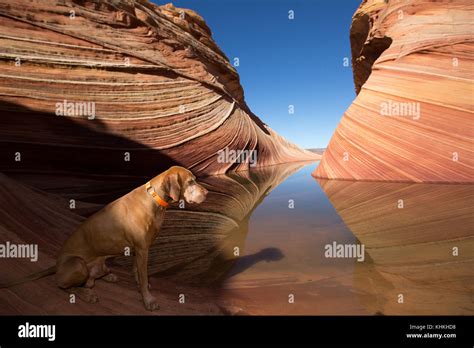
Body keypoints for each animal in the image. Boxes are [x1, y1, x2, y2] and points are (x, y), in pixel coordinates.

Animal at [0, 164, 207, 312]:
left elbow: (137, 273)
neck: (154, 198)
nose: (206, 193)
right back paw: (86, 293)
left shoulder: (138, 250)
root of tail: (57, 265)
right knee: (62, 285)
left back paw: (107, 276)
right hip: (77, 264)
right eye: (191, 182)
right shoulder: (142, 249)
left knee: (93, 276)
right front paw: (148, 299)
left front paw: (141, 286)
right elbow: (142, 274)